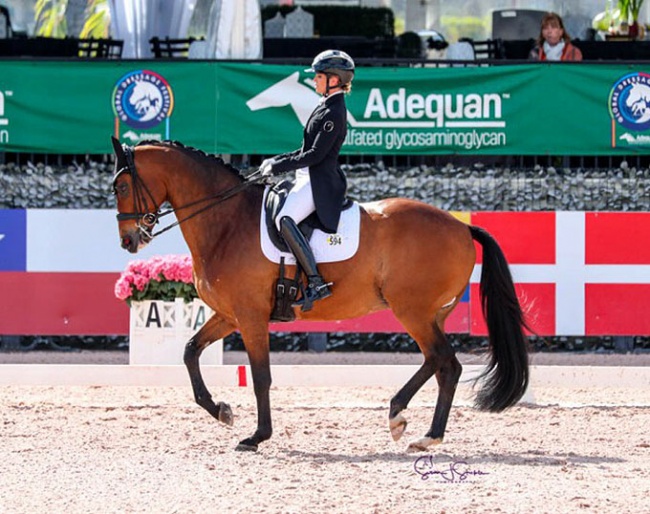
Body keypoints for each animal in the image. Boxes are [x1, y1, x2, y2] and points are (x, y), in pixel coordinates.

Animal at [111, 138, 528, 450]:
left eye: (122, 186)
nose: (130, 241)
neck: (226, 222)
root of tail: (461, 228)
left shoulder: (249, 317)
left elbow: (260, 376)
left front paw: (256, 436)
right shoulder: (229, 314)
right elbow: (189, 352)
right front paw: (222, 411)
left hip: (413, 311)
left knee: (446, 363)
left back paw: (426, 433)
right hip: (428, 313)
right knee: (437, 362)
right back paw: (401, 417)